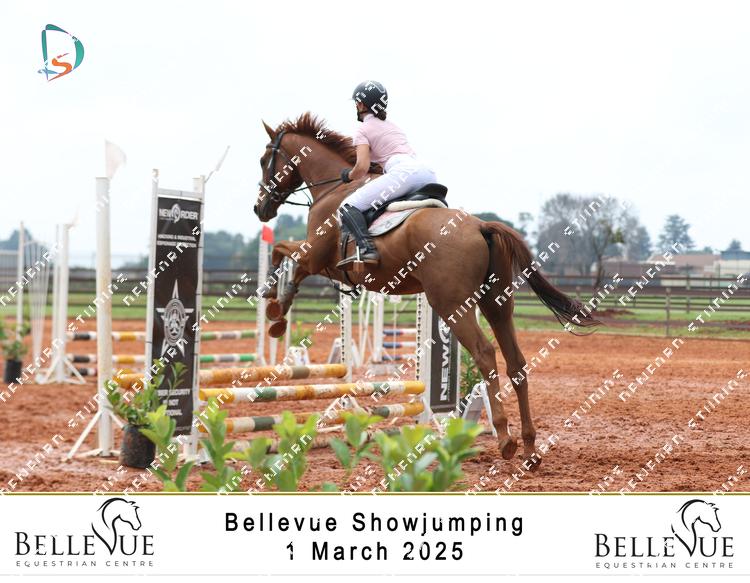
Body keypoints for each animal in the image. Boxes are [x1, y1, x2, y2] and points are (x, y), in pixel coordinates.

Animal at [252, 113, 599, 468]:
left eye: (265, 160)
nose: (260, 209)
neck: (334, 188)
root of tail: (481, 226)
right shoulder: (322, 263)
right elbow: (285, 256)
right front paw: (276, 305)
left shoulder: (315, 256)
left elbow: (282, 252)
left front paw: (276, 309)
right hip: (497, 303)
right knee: (516, 362)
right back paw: (529, 447)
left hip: (451, 304)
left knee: (485, 353)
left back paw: (505, 438)